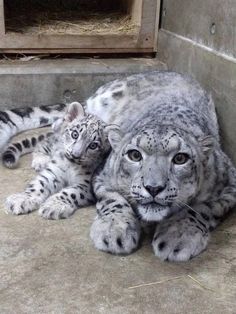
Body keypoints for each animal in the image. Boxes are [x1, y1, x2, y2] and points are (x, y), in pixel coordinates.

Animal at [85, 72, 236, 262]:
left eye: (180, 158)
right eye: (134, 155)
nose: (153, 188)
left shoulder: (228, 186)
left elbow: (202, 208)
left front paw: (177, 235)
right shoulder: (103, 176)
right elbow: (113, 198)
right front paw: (113, 230)